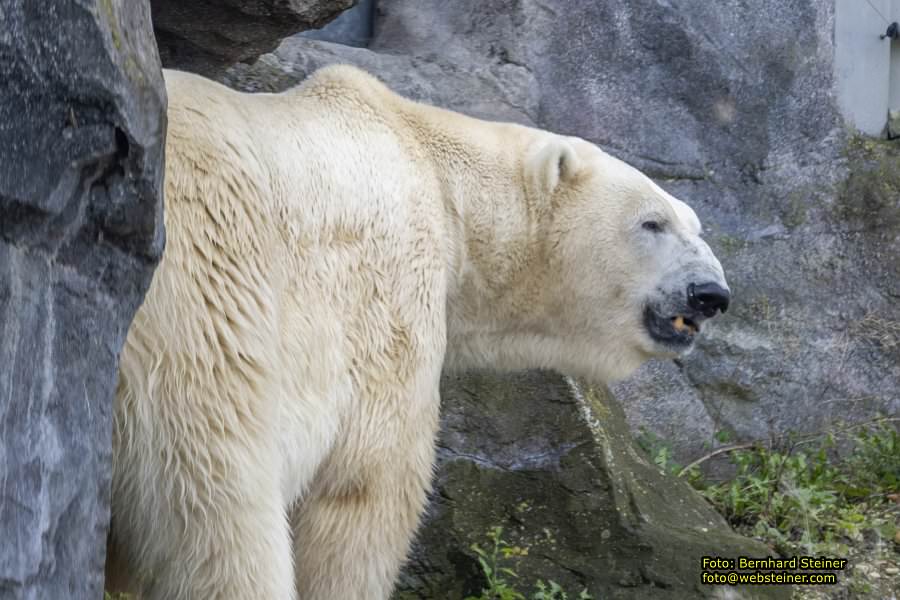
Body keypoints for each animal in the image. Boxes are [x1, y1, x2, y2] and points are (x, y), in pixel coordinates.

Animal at [107, 63, 732, 596]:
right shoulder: (386, 290)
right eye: (652, 222)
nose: (711, 295)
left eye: (696, 225)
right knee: (219, 499)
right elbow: (370, 486)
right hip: (209, 296)